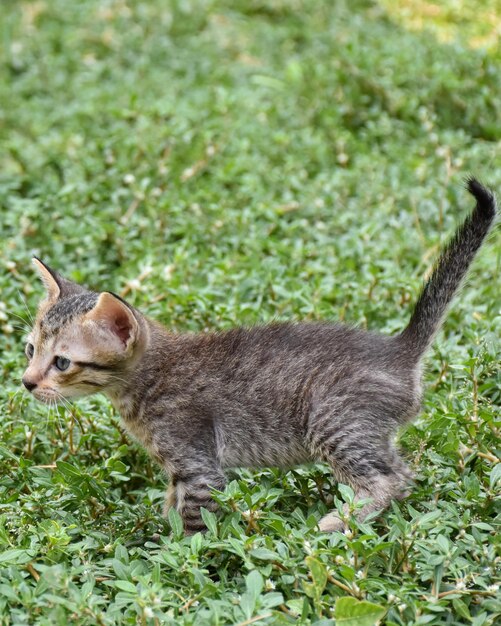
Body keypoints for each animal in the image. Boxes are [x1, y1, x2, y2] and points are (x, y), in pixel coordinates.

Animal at [22, 179, 496, 532]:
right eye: (29, 349)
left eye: (61, 362)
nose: (27, 382)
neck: (145, 380)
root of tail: (399, 349)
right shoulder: (180, 470)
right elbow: (171, 505)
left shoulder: (198, 465)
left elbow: (193, 524)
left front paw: (177, 559)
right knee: (405, 472)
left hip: (335, 423)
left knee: (391, 480)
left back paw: (336, 522)